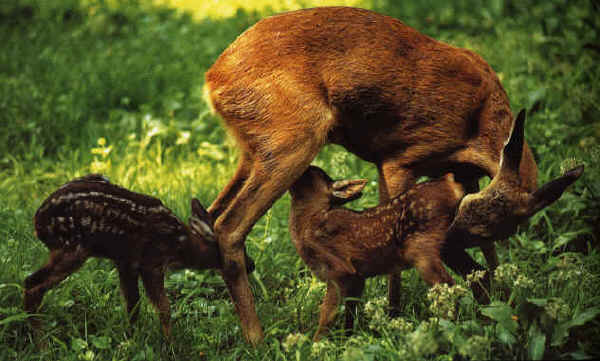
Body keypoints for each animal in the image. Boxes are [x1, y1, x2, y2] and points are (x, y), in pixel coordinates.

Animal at [205, 6, 548, 344]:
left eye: (491, 229)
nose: (449, 247)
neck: (479, 126)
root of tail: (213, 80)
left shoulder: (452, 175)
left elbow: (489, 253)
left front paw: (502, 299)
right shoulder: (401, 157)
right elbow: (394, 229)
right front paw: (394, 316)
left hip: (254, 151)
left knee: (211, 213)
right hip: (294, 139)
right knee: (229, 227)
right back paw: (258, 338)